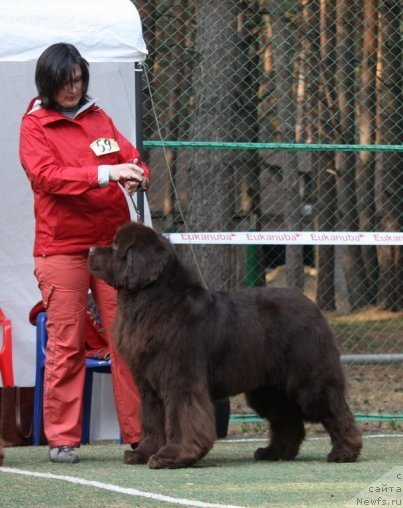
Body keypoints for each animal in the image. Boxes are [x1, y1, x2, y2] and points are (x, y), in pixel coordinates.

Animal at [87, 222, 362, 468]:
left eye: (115, 245)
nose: (89, 249)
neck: (151, 300)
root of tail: (312, 305)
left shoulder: (181, 379)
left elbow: (180, 418)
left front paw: (172, 457)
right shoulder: (149, 386)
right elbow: (153, 422)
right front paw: (143, 454)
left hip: (309, 378)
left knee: (334, 408)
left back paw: (345, 452)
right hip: (267, 387)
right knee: (287, 418)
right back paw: (274, 452)